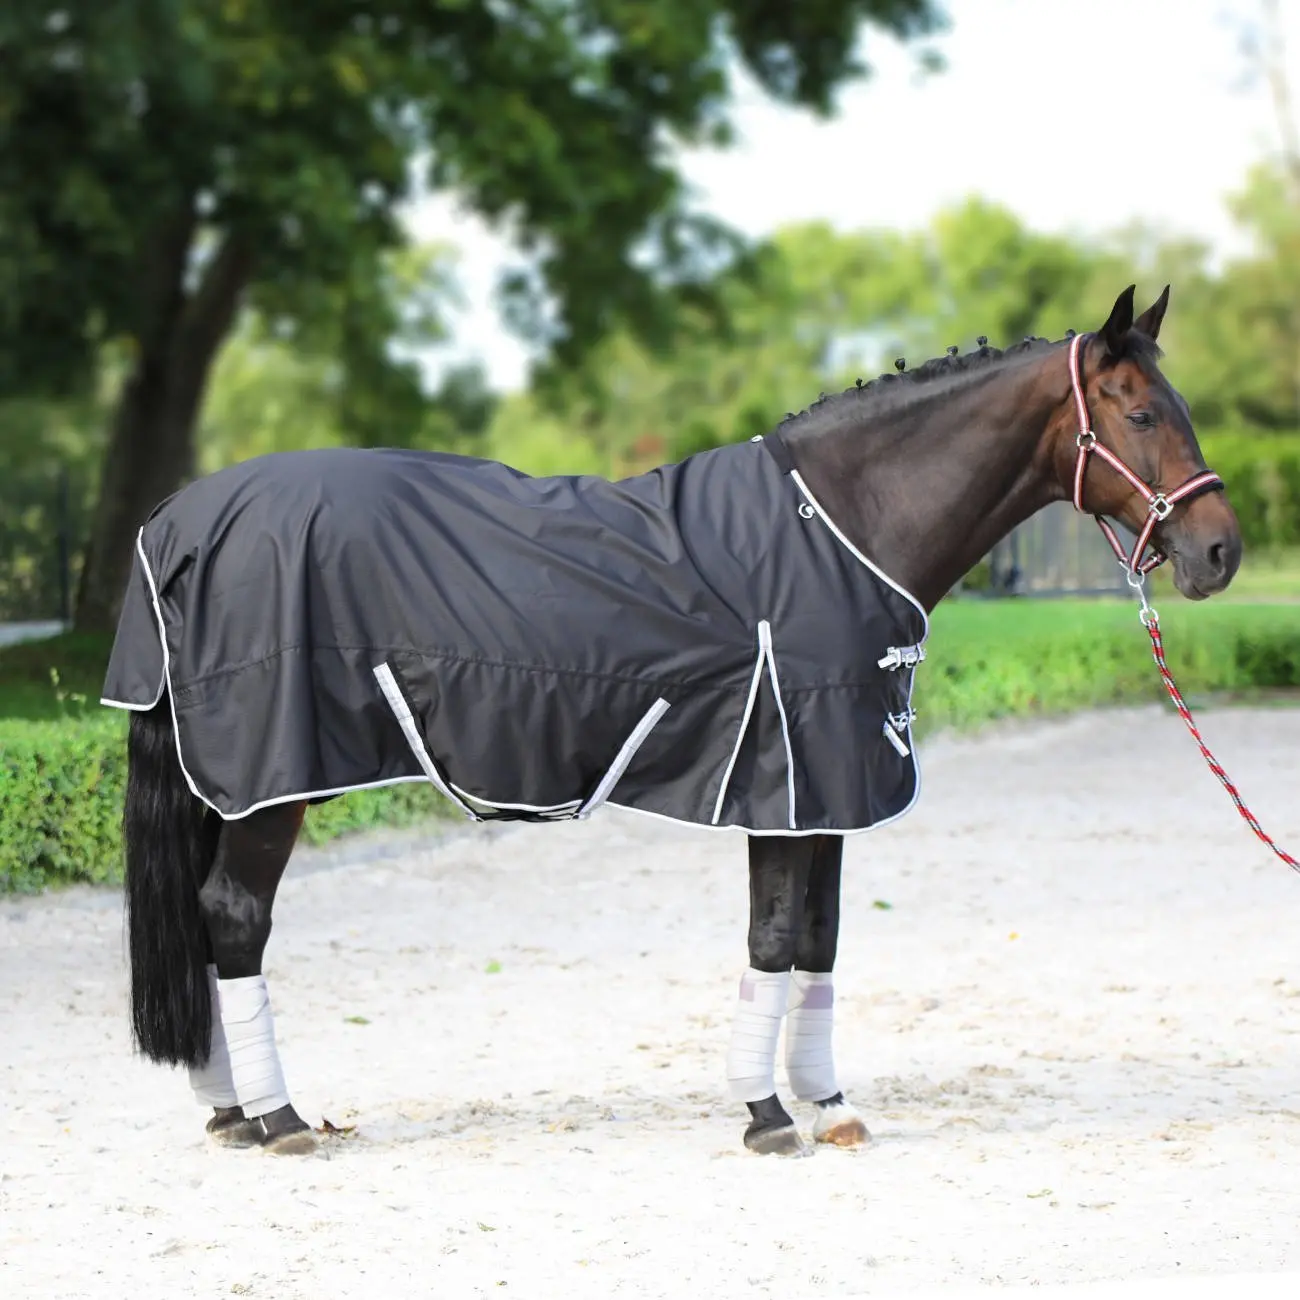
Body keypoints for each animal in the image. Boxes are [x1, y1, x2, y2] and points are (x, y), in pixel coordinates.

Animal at [104, 284, 1241, 1157]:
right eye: (1141, 415)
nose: (1220, 550)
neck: (840, 526)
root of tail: (179, 517)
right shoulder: (787, 777)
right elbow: (774, 937)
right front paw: (766, 1113)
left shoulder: (827, 789)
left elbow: (821, 939)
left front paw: (829, 1103)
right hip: (269, 782)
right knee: (233, 917)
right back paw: (280, 1117)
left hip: (227, 785)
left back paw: (229, 1111)